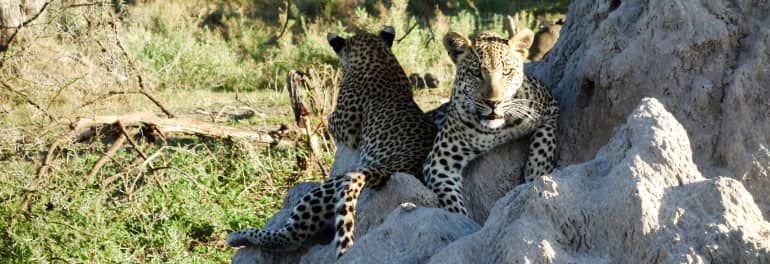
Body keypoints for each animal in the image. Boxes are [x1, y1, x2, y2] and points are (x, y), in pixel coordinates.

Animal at [225, 26, 436, 258]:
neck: (377, 55)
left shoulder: (345, 126)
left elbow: (331, 121)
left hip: (329, 187)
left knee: (290, 237)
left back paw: (239, 236)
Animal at [424, 27, 560, 216]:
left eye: (506, 72)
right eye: (476, 73)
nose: (493, 102)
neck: (496, 131)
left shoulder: (550, 105)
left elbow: (545, 142)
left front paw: (536, 176)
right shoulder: (439, 164)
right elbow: (453, 205)